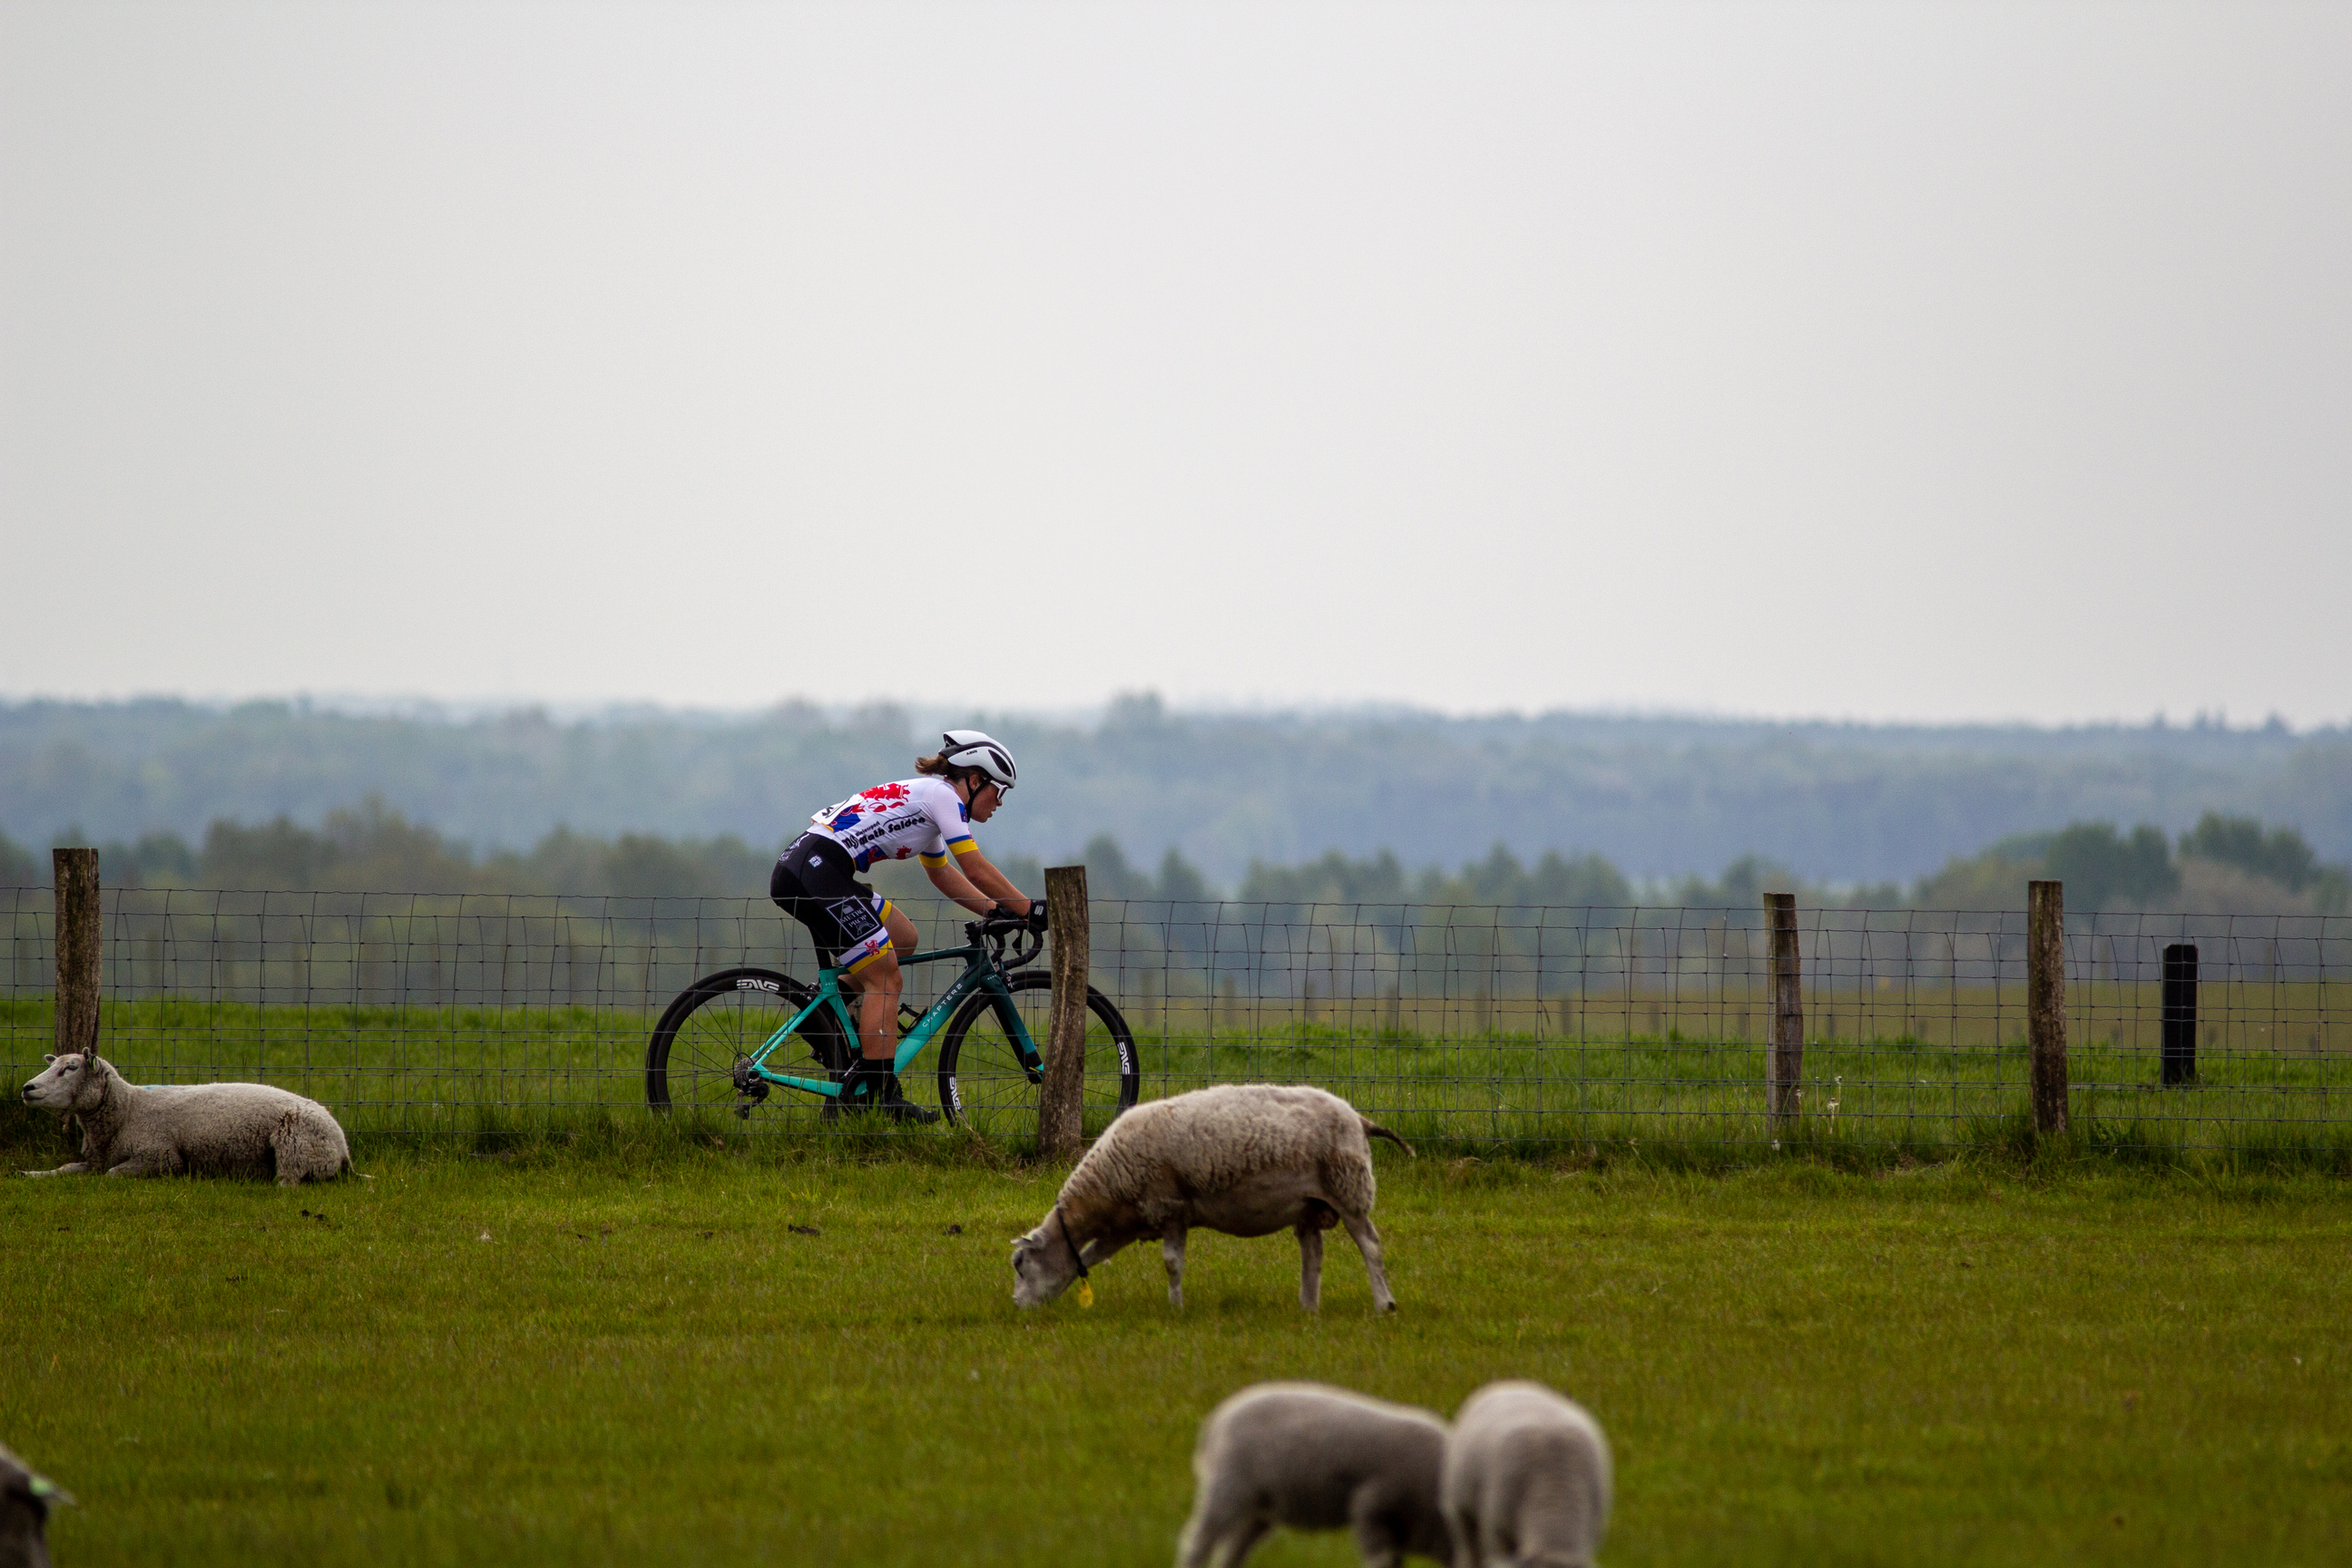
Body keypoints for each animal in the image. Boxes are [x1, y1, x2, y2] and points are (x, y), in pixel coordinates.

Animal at [16, 1048, 348, 1184]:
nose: (27, 1088)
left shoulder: (161, 1156)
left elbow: (112, 1175)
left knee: (290, 1182)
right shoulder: (97, 1159)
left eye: (70, 1068)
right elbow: (66, 1168)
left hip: (295, 1145)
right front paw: (29, 1174)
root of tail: (342, 1146)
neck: (128, 1110)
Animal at [1006, 1081, 1401, 1316]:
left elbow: (1171, 1263)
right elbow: (1090, 1256)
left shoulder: (1170, 1209)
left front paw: (1176, 1308)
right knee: (1313, 1253)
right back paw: (1307, 1308)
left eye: (1020, 1264)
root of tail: (1358, 1118)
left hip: (1348, 1188)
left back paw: (1384, 1304)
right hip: (1308, 1203)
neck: (1104, 1188)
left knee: (1370, 1245)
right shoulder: (1128, 1225)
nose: (1017, 1305)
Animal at [1176, 1382, 1448, 1568]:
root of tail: (1217, 1421)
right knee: (1200, 1541)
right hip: (1229, 1487)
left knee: (1233, 1550)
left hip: (1260, 1506)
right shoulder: (1372, 1509)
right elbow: (1381, 1561)